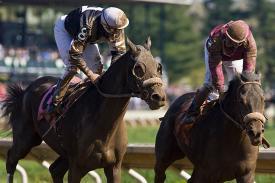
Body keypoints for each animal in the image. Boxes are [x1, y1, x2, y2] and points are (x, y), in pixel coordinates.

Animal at [2, 37, 166, 183]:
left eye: (158, 67)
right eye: (138, 68)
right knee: (11, 159)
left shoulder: (114, 167)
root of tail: (24, 91)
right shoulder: (77, 168)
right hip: (25, 139)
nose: (159, 97)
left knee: (55, 169)